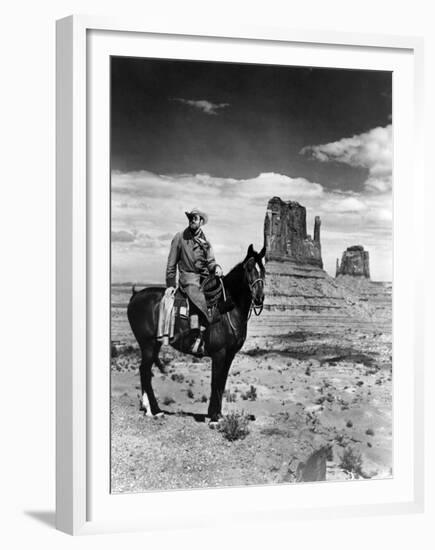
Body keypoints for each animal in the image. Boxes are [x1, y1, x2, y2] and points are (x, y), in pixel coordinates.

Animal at [127, 247, 266, 426]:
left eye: (263, 269)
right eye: (249, 268)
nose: (259, 298)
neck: (228, 309)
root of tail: (135, 295)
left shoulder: (230, 355)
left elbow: (222, 382)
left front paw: (218, 415)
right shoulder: (219, 353)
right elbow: (215, 382)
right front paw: (214, 418)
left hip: (153, 345)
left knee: (144, 371)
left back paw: (147, 408)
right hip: (148, 344)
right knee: (145, 372)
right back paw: (155, 411)